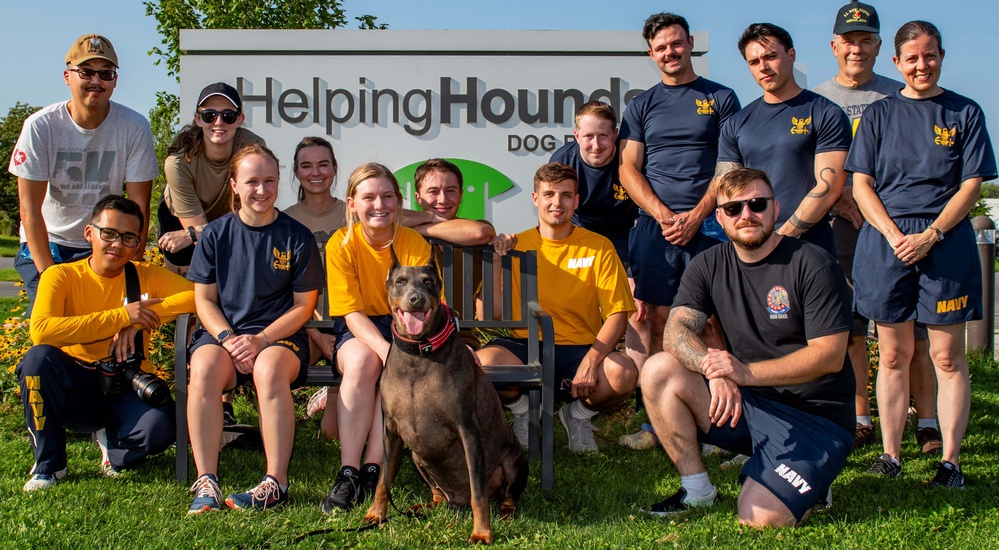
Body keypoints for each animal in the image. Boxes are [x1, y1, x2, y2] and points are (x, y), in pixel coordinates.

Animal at [364, 252, 528, 544]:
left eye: (428, 281)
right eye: (400, 281)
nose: (416, 299)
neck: (419, 354)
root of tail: (456, 501)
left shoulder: (467, 430)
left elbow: (478, 493)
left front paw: (482, 531)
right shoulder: (391, 430)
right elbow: (384, 478)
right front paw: (377, 512)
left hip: (513, 460)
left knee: (505, 496)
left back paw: (505, 512)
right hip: (417, 455)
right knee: (438, 493)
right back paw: (426, 505)